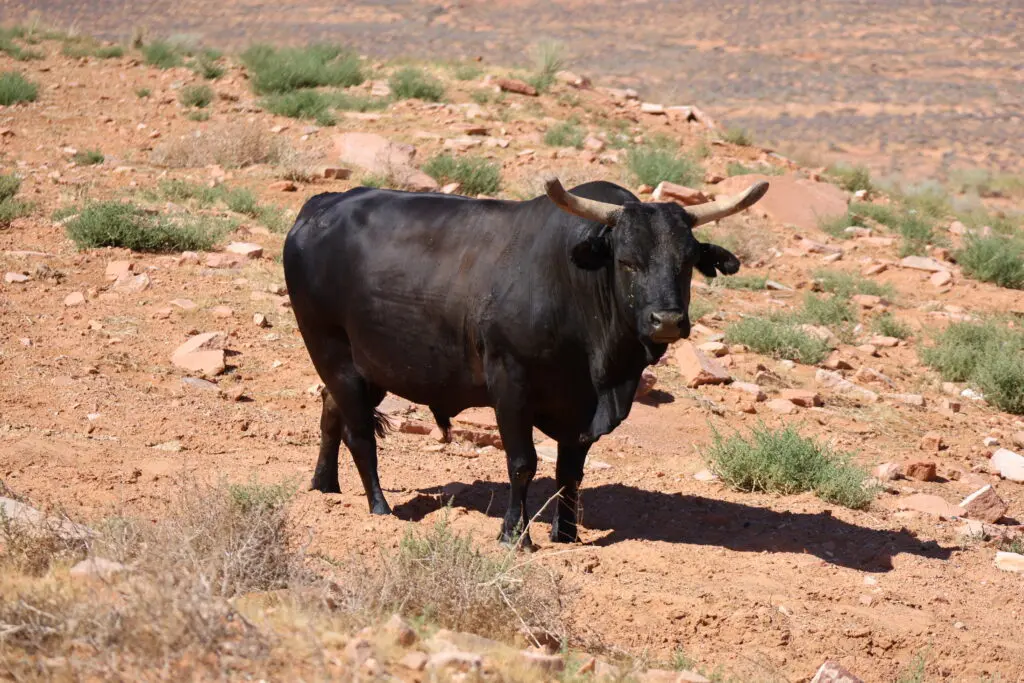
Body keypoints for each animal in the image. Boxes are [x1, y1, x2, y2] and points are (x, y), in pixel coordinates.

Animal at [282, 178, 770, 548]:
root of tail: (321, 204)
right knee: (360, 434)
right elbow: (523, 463)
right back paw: (380, 507)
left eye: (687, 263)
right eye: (627, 261)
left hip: (371, 365)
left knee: (331, 412)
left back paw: (325, 486)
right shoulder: (510, 385)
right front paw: (513, 534)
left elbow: (569, 473)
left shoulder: (580, 409)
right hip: (332, 350)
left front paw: (566, 534)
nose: (666, 320)